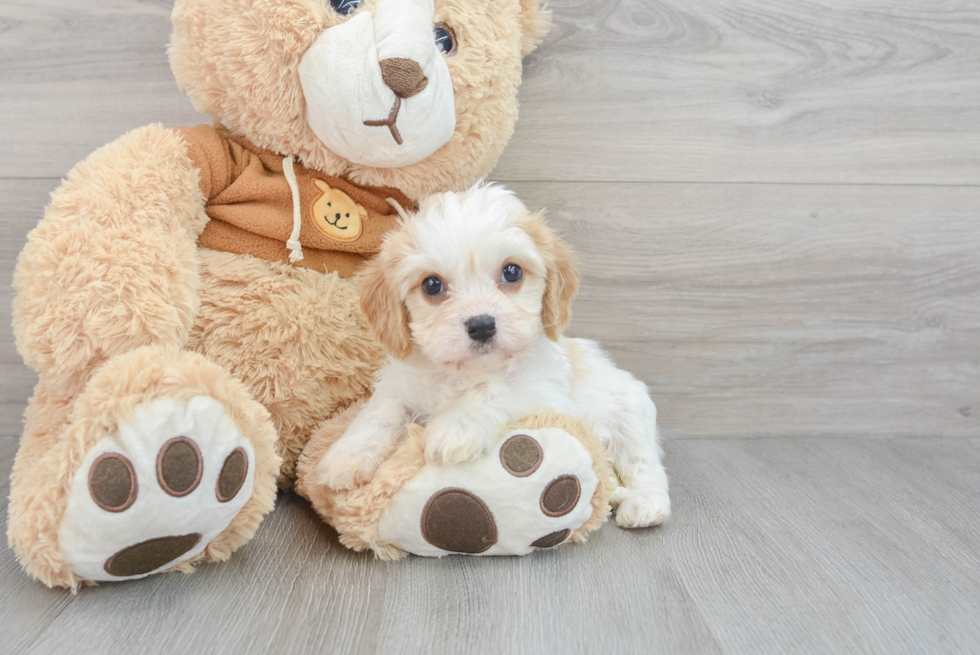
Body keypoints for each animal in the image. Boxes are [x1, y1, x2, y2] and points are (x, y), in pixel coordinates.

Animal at [318, 183, 668, 528]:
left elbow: (497, 391)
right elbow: (380, 411)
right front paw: (346, 455)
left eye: (512, 272)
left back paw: (644, 504)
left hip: (631, 414)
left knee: (643, 463)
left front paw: (456, 427)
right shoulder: (400, 385)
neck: (466, 372)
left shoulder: (544, 394)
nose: (482, 325)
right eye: (431, 285)